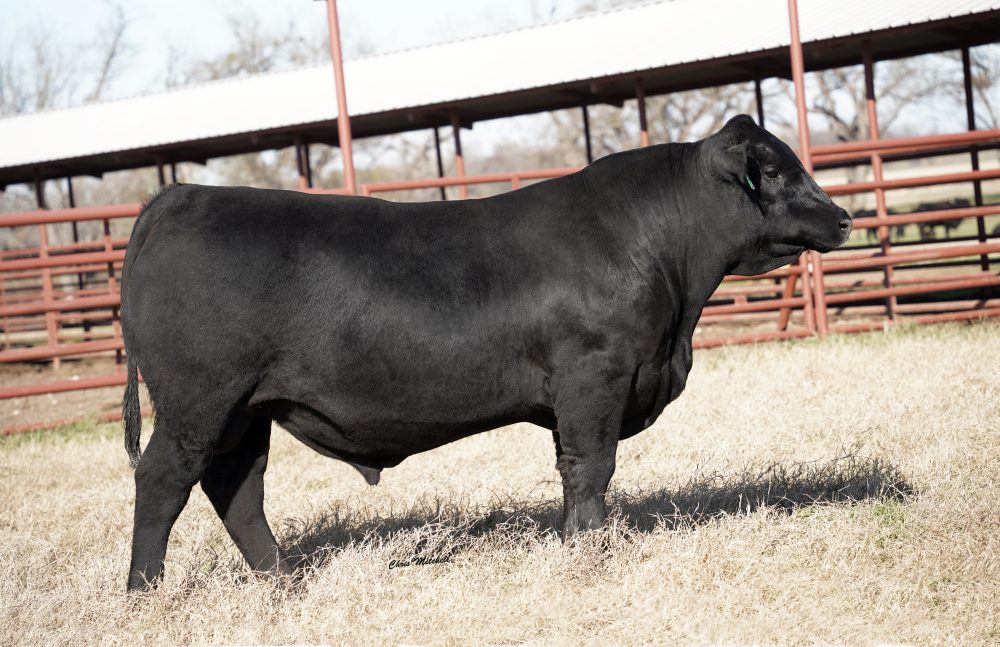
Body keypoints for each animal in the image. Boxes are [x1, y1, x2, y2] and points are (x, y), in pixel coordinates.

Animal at [120, 115, 851, 591]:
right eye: (776, 170)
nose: (843, 218)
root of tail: (183, 195)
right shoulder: (595, 377)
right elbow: (593, 467)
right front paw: (592, 553)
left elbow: (573, 471)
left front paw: (573, 542)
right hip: (199, 399)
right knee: (163, 480)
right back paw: (144, 591)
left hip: (245, 409)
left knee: (236, 486)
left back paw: (282, 579)